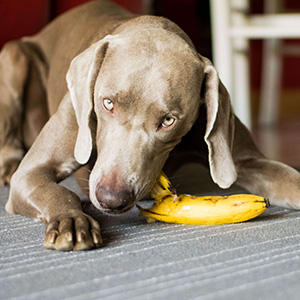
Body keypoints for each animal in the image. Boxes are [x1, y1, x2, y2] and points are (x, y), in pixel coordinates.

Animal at [0, 0, 300, 251]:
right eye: (107, 103)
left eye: (168, 120)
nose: (111, 198)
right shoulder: (32, 173)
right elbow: (55, 190)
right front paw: (72, 220)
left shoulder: (247, 158)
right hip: (13, 56)